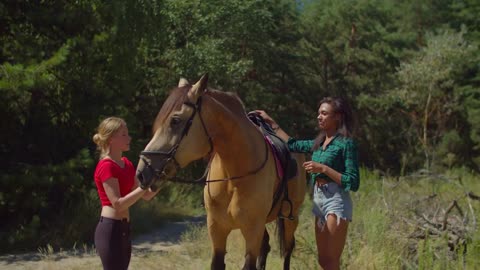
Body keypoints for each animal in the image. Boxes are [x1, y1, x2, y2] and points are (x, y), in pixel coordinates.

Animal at [135, 74, 308, 270]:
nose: (142, 172)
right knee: (266, 245)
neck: (233, 177)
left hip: (291, 217)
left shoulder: (252, 232)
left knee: (287, 250)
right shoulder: (217, 230)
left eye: (175, 120)